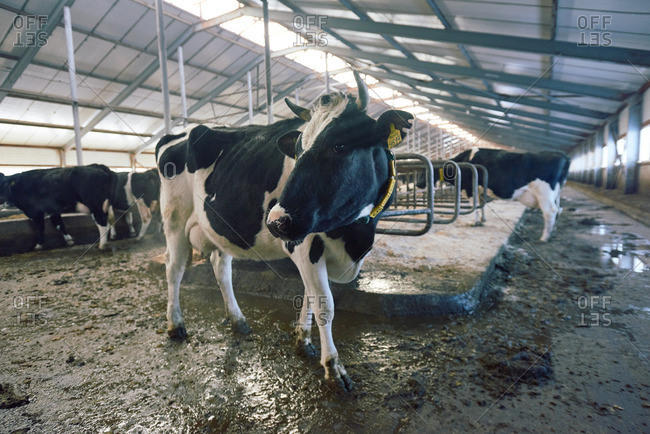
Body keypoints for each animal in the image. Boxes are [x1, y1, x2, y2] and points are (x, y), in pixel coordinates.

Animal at [156, 71, 413, 390]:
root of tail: (177, 133)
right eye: (298, 150)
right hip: (175, 220)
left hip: (220, 227)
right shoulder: (304, 245)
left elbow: (309, 296)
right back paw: (175, 325)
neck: (353, 236)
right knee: (174, 269)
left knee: (221, 268)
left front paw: (303, 341)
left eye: (340, 145)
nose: (275, 221)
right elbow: (324, 305)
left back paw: (238, 320)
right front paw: (333, 368)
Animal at [430, 148, 570, 242]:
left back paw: (544, 238)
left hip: (544, 192)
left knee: (550, 211)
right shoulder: (480, 191)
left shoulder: (470, 189)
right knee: (559, 209)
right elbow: (481, 205)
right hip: (556, 194)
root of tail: (562, 154)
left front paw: (475, 222)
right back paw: (553, 232)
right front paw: (482, 220)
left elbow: (475, 207)